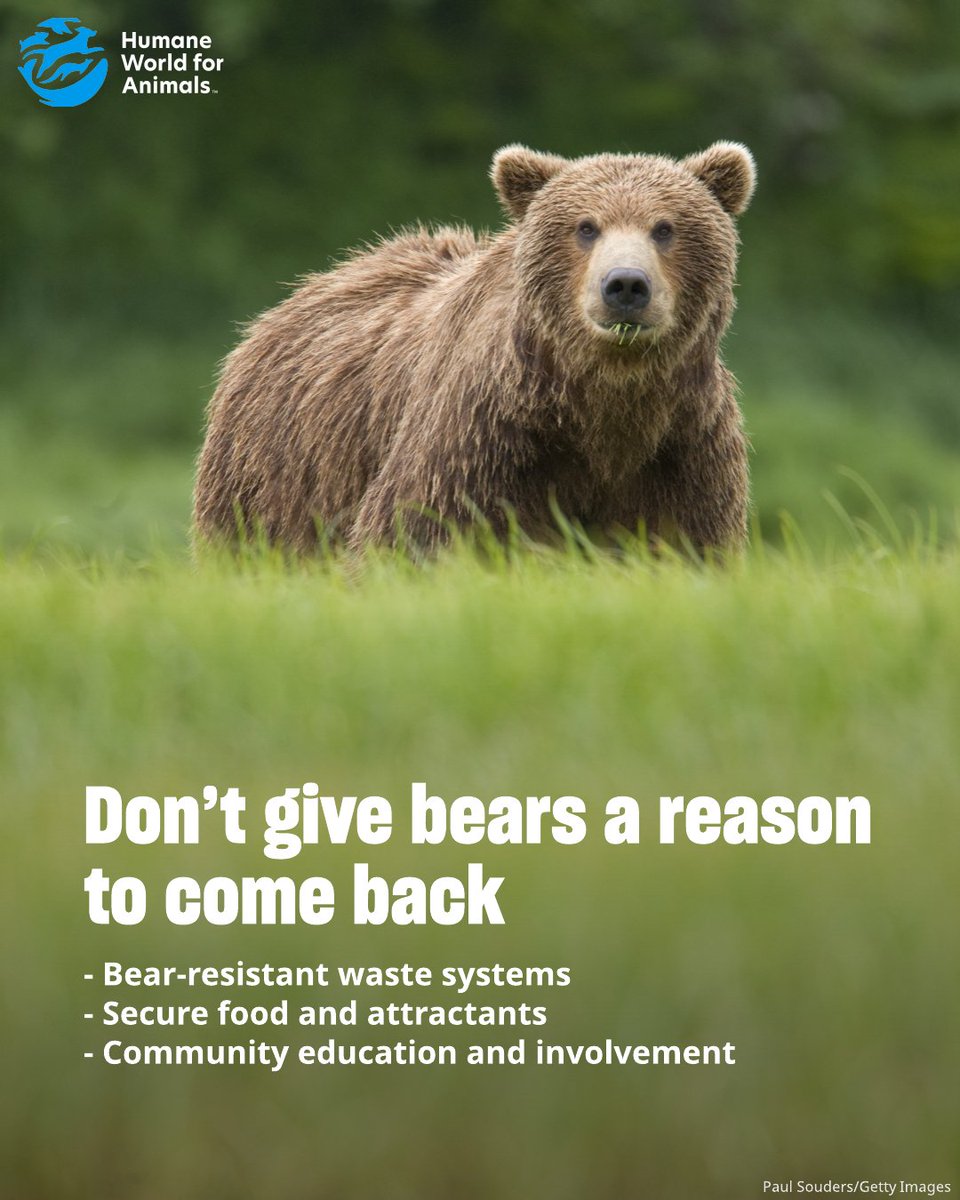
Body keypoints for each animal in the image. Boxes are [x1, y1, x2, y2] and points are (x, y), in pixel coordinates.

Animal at [193, 141, 756, 554]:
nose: (625, 285)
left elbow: (684, 542)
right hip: (275, 475)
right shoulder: (484, 436)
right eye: (586, 226)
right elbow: (414, 531)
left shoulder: (681, 449)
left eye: (664, 227)